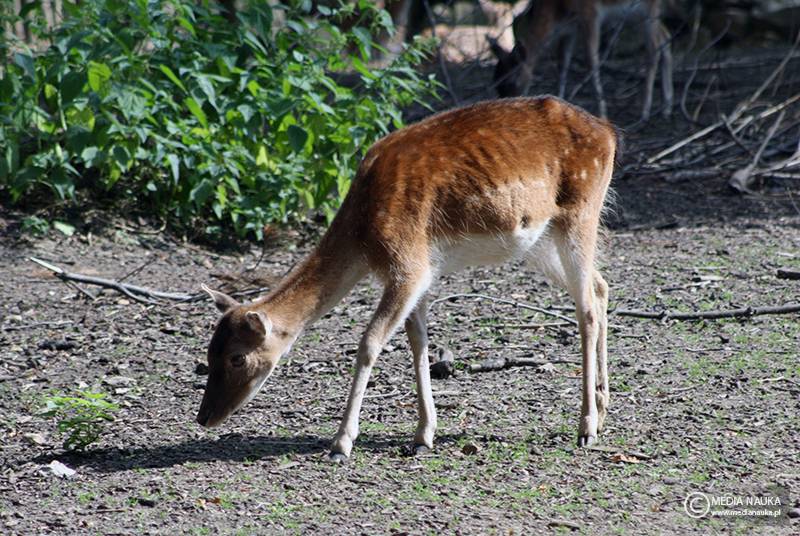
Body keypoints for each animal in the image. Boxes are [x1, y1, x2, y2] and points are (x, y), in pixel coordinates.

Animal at [197, 98, 616, 462]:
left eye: (237, 357)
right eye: (209, 352)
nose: (204, 417)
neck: (364, 234)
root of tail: (609, 132)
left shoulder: (408, 263)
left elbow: (369, 342)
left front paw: (341, 443)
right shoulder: (424, 271)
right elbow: (418, 342)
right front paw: (422, 435)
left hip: (580, 214)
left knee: (585, 308)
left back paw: (586, 426)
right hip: (540, 242)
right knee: (600, 286)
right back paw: (602, 406)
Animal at [490, 0, 672, 120]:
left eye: (511, 81)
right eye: (497, 84)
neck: (557, 11)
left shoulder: (590, 12)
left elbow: (591, 61)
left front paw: (602, 113)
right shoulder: (569, 28)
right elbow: (563, 64)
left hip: (649, 8)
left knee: (654, 48)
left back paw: (645, 111)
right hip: (637, 13)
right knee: (665, 37)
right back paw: (666, 106)